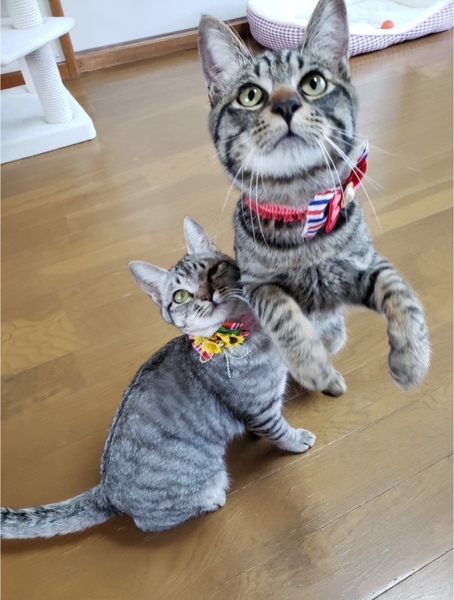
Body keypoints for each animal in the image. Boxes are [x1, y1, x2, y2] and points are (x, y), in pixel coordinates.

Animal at [1, 217, 315, 540]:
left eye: (213, 270)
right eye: (180, 296)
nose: (206, 295)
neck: (242, 336)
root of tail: (106, 492)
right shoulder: (260, 409)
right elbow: (279, 431)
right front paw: (296, 440)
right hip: (199, 483)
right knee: (151, 523)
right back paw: (211, 500)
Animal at [198, 0, 430, 396]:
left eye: (313, 83)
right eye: (250, 95)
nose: (287, 104)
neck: (301, 204)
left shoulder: (364, 264)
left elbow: (401, 293)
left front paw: (412, 360)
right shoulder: (255, 286)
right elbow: (285, 317)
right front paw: (315, 368)